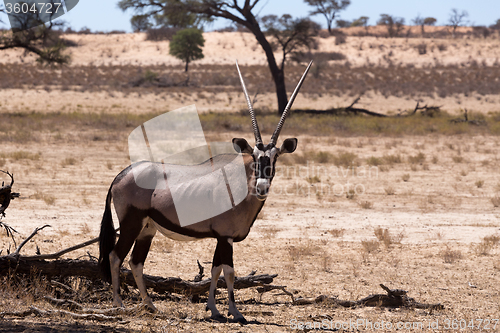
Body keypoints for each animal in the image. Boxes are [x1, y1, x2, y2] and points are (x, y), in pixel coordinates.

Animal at [98, 59, 312, 322]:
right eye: (254, 156)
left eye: (275, 157)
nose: (262, 186)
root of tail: (121, 175)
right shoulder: (225, 237)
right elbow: (229, 272)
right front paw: (235, 312)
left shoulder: (221, 237)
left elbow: (215, 269)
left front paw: (214, 309)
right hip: (131, 223)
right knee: (115, 256)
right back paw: (119, 303)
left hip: (147, 229)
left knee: (136, 262)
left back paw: (150, 306)